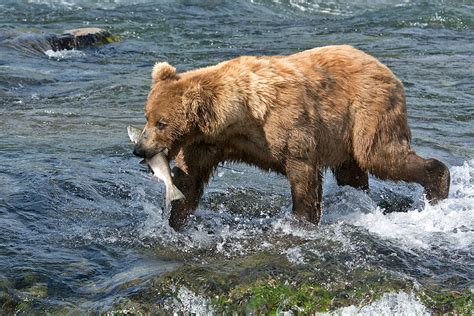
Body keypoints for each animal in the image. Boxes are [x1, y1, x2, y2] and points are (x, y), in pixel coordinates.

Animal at [131, 44, 450, 230]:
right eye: (147, 116)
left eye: (161, 122)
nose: (139, 149)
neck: (239, 118)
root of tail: (386, 68)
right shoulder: (209, 143)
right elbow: (190, 179)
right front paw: (175, 219)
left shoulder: (289, 125)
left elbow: (302, 175)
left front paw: (300, 220)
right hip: (343, 136)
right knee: (352, 172)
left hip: (367, 111)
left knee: (380, 155)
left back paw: (438, 184)